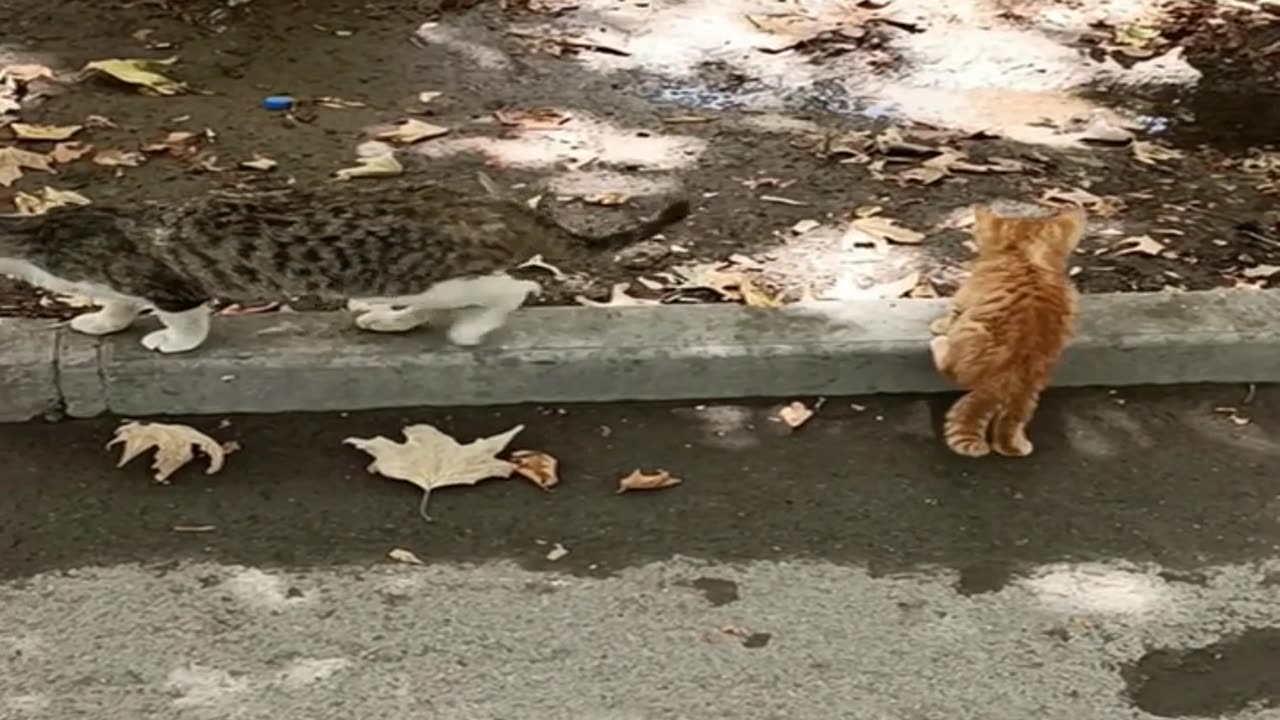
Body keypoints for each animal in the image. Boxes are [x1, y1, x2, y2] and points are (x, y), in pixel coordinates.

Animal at [0, 175, 691, 351]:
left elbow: (186, 317)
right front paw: (102, 322)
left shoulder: (169, 284)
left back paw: (470, 330)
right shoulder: (110, 277)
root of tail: (488, 204)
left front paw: (172, 342)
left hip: (430, 273)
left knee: (508, 290)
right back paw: (391, 320)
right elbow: (114, 302)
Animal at [931, 204, 1080, 456]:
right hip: (1029, 395)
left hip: (972, 331)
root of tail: (1005, 379)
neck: (1025, 256)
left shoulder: (964, 300)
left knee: (950, 368)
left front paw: (938, 324)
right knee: (1012, 425)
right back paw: (1017, 444)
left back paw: (939, 343)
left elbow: (952, 315)